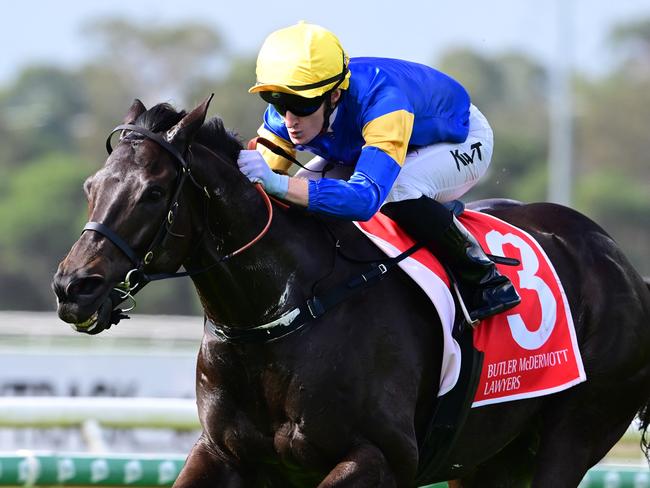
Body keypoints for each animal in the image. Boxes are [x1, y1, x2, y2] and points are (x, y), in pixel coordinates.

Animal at [50, 96, 648, 488]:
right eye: (90, 187)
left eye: (153, 193)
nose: (73, 287)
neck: (284, 312)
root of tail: (622, 266)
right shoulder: (222, 454)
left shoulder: (381, 456)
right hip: (489, 460)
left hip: (573, 434)